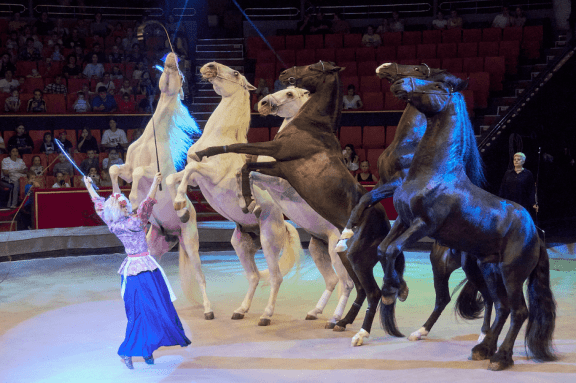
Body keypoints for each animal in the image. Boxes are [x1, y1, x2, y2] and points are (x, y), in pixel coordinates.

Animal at [108, 52, 214, 320]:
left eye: (181, 76)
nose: (171, 57)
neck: (151, 140)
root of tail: (174, 234)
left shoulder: (149, 172)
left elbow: (141, 177)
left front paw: (135, 202)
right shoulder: (126, 168)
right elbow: (115, 170)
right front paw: (117, 197)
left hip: (191, 245)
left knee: (201, 276)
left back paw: (208, 310)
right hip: (154, 247)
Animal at [165, 63, 304, 328]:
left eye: (236, 73)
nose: (208, 67)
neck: (218, 139)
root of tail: (284, 225)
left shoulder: (210, 174)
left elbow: (189, 170)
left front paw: (179, 204)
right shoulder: (197, 179)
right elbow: (175, 178)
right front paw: (181, 208)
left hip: (269, 244)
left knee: (275, 277)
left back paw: (265, 316)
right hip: (241, 246)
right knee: (253, 277)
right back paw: (240, 311)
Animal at [191, 60, 408, 344]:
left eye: (313, 67)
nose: (264, 102)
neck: (313, 128)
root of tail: (386, 225)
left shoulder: (277, 157)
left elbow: (240, 152)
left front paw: (208, 158)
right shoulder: (279, 167)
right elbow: (246, 167)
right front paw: (246, 199)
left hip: (351, 257)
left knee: (363, 289)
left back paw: (352, 330)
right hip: (345, 256)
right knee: (359, 287)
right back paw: (337, 320)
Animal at [376, 76, 556, 372]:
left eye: (437, 85)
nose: (400, 82)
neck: (434, 174)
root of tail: (535, 232)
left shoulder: (423, 226)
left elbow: (392, 250)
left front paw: (395, 292)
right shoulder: (403, 220)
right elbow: (383, 249)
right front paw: (396, 288)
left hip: (511, 273)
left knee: (519, 311)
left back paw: (500, 358)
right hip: (488, 269)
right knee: (502, 307)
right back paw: (483, 348)